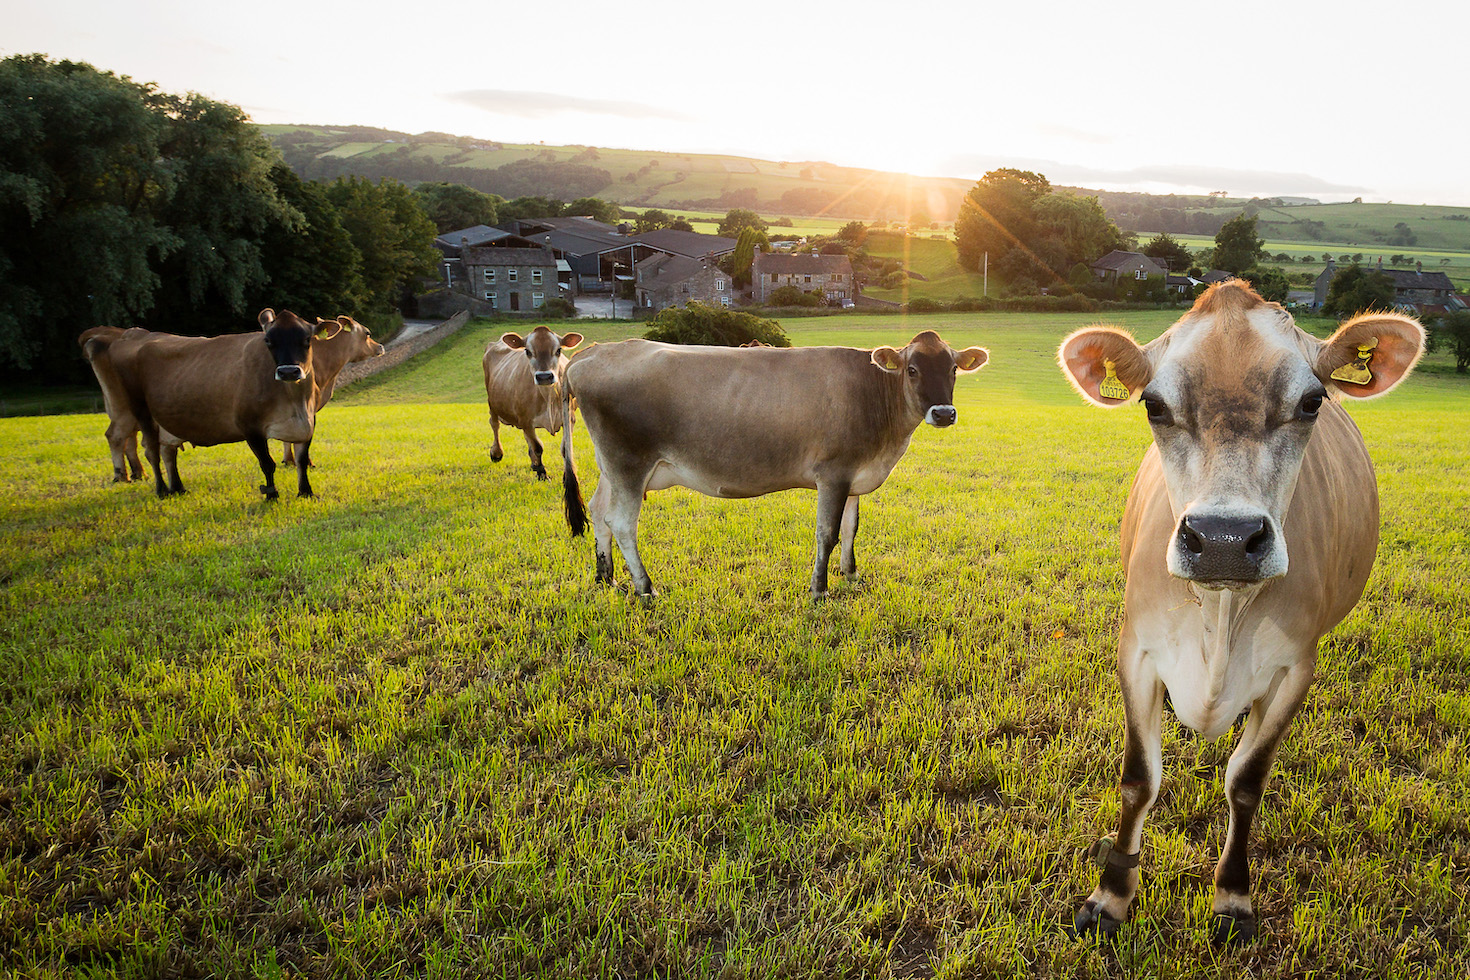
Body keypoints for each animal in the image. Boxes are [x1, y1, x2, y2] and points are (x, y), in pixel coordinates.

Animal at [81, 312, 342, 502]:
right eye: (268, 341)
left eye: (307, 340)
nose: (288, 371)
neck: (295, 401)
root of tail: (129, 335)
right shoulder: (250, 427)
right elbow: (267, 463)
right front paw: (271, 494)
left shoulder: (308, 423)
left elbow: (301, 460)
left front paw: (306, 492)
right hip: (139, 409)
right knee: (150, 449)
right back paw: (161, 490)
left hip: (165, 416)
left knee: (167, 450)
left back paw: (177, 487)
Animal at [476, 327, 579, 481]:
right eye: (528, 351)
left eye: (558, 350)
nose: (544, 376)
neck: (549, 396)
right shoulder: (526, 421)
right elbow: (537, 447)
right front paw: (542, 473)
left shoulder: (569, 418)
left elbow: (565, 448)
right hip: (492, 402)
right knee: (494, 424)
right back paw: (496, 453)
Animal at [558, 332, 987, 599]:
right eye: (912, 370)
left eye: (953, 369)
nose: (944, 413)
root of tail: (591, 353)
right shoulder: (833, 473)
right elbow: (828, 534)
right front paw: (819, 589)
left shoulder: (855, 474)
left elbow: (852, 529)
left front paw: (851, 576)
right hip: (629, 462)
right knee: (621, 522)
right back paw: (646, 588)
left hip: (611, 467)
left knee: (598, 511)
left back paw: (606, 577)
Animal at [1058, 279, 1422, 946]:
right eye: (1153, 405)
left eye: (1311, 401)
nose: (1223, 539)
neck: (1220, 618)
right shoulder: (1137, 651)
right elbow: (1139, 779)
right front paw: (1111, 896)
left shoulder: (1294, 669)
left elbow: (1247, 781)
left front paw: (1232, 896)